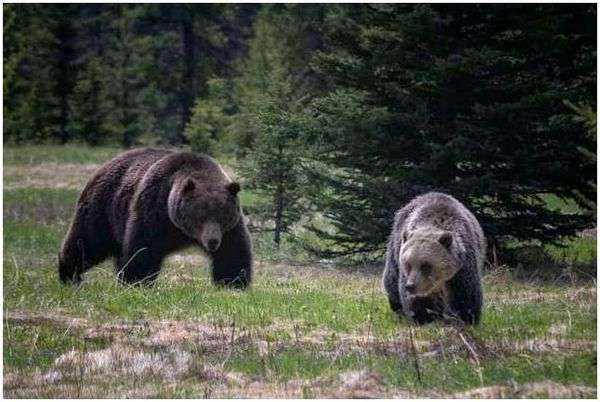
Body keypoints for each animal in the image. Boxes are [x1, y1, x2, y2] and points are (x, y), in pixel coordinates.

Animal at [58, 149, 251, 288]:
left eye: (223, 216)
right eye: (200, 217)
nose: (212, 241)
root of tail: (104, 165)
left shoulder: (230, 228)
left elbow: (232, 251)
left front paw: (234, 282)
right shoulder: (154, 207)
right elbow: (143, 248)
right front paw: (137, 281)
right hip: (103, 208)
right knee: (86, 242)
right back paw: (69, 275)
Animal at [382, 192, 486, 326]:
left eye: (425, 265)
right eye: (408, 264)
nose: (410, 286)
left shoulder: (463, 267)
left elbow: (465, 294)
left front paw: (467, 319)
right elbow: (418, 301)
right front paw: (423, 318)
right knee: (391, 280)